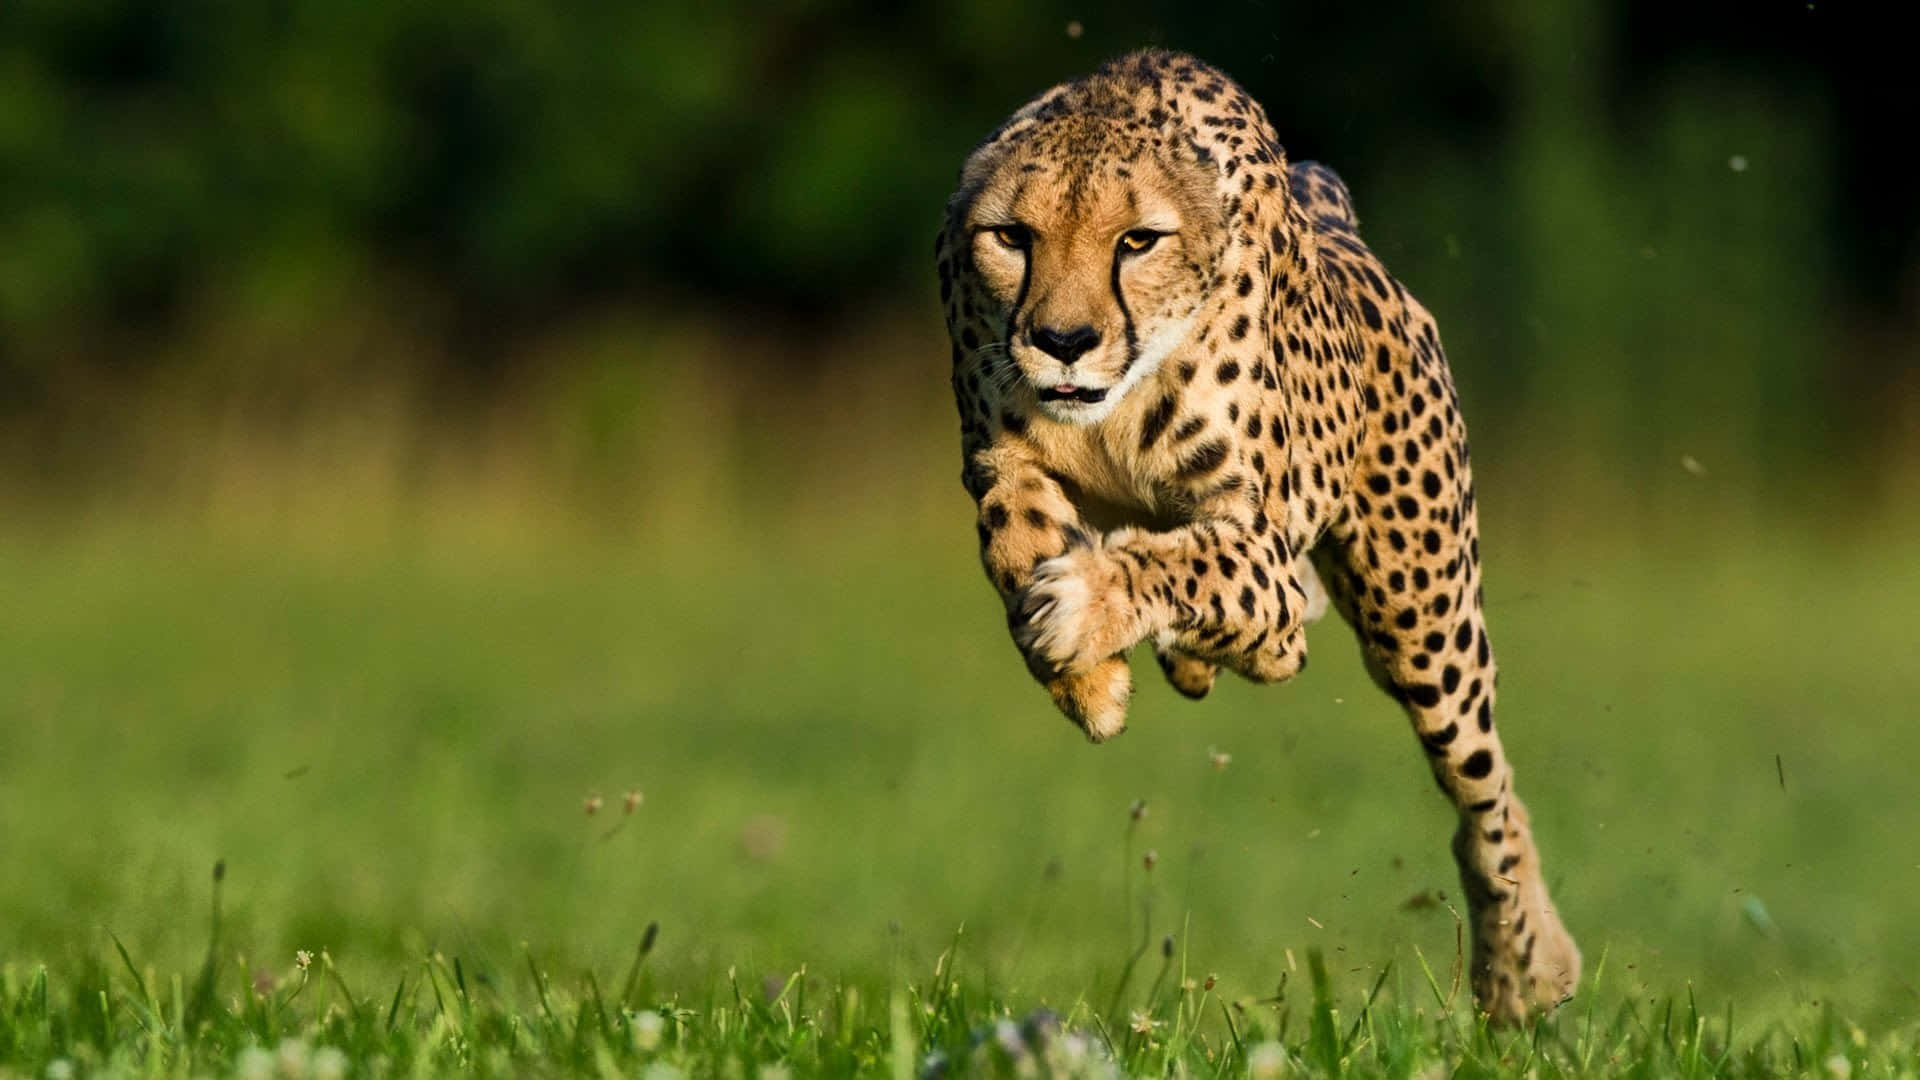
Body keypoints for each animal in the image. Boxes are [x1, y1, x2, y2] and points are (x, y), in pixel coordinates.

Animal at [936, 50, 1582, 1022]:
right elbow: (1013, 532)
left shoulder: (1259, 544)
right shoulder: (998, 455)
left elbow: (1191, 564)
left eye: (1138, 241)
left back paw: (1524, 968)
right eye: (1012, 237)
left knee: (1484, 788)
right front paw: (1089, 681)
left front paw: (1085, 610)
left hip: (1421, 620)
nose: (1063, 339)